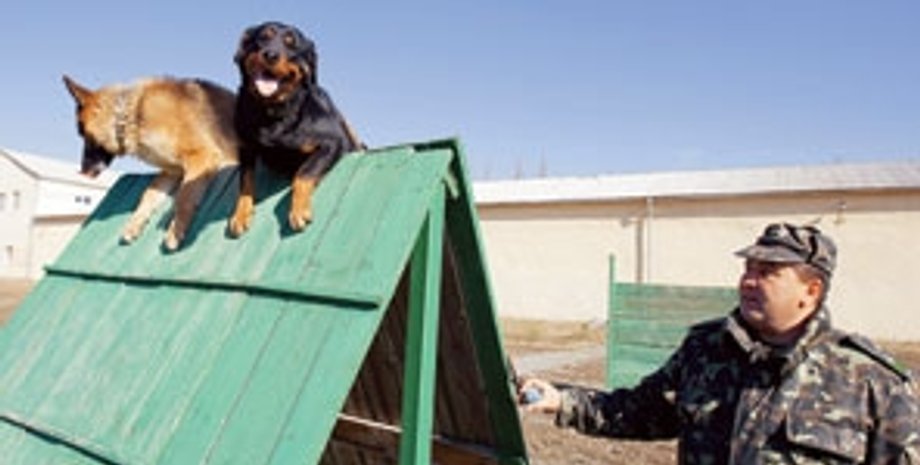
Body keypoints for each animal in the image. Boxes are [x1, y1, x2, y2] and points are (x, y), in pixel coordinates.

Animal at [64, 75, 238, 251]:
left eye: (83, 134)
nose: (83, 170)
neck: (131, 115)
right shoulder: (172, 171)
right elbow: (148, 194)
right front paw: (135, 223)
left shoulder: (202, 155)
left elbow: (185, 195)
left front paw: (175, 230)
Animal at [228, 21, 362, 237]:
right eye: (263, 37)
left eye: (291, 44)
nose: (271, 54)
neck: (273, 111)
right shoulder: (245, 147)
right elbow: (245, 181)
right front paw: (240, 214)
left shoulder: (333, 142)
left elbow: (303, 173)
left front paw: (298, 210)